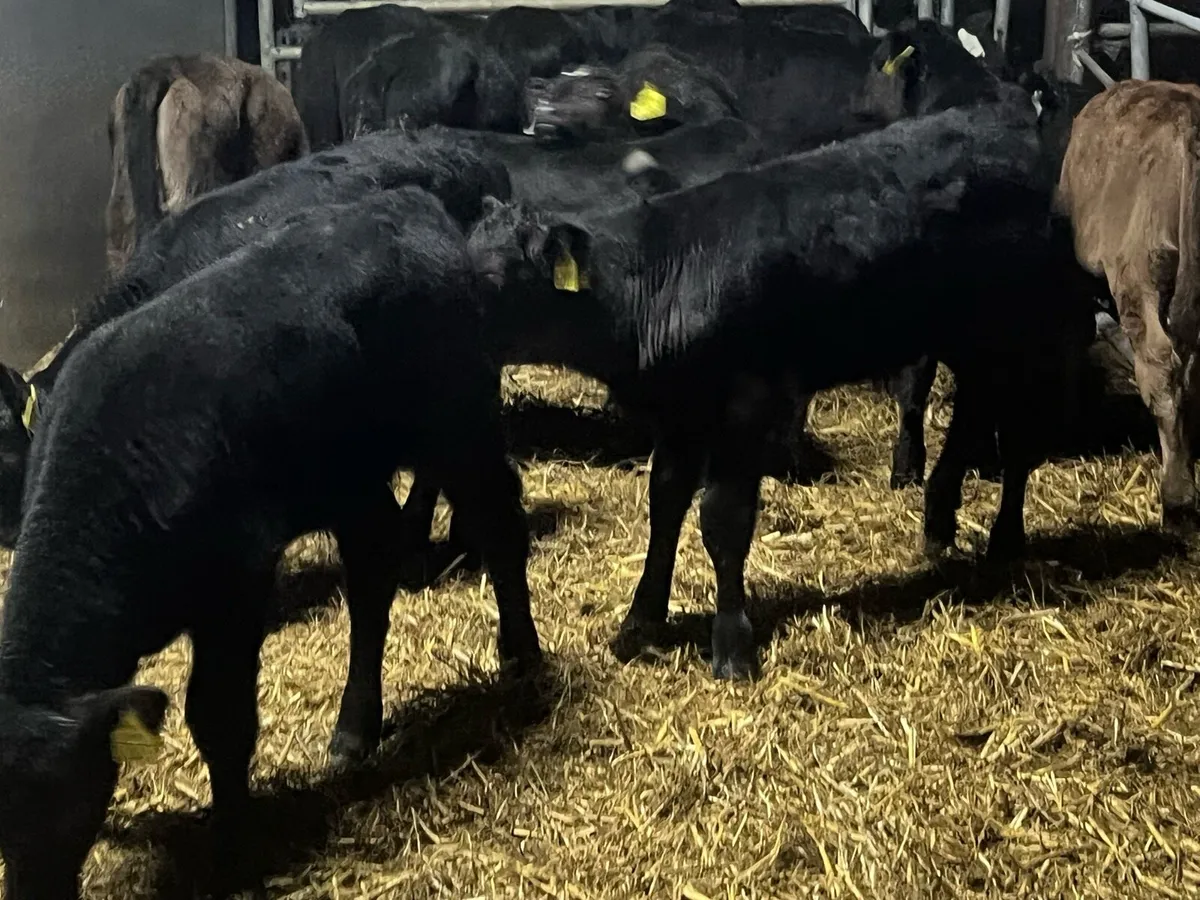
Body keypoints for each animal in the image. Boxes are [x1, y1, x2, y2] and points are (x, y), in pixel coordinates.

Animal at [0, 187, 541, 900]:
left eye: (71, 802)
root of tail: (408, 203)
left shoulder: (234, 581)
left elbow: (219, 715)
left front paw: (234, 842)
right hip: (351, 478)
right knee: (372, 574)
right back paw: (354, 730)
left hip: (459, 422)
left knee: (500, 523)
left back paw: (522, 655)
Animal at [464, 99, 1094, 681]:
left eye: (495, 278)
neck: (663, 279)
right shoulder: (682, 413)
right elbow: (664, 507)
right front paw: (639, 625)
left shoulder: (747, 403)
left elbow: (723, 520)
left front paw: (731, 646)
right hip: (965, 336)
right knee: (973, 410)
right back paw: (938, 523)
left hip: (1027, 329)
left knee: (1019, 437)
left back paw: (1006, 540)